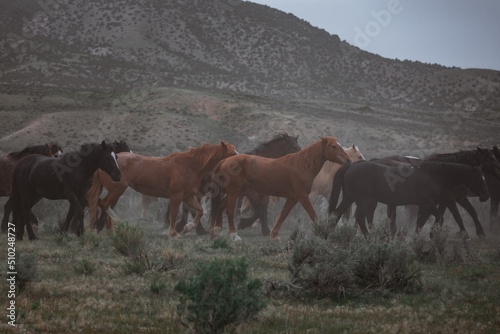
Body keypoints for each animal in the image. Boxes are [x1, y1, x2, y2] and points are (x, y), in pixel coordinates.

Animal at [88, 142, 238, 237]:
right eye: (232, 153)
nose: (240, 159)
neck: (189, 166)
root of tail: (101, 167)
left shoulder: (188, 196)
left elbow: (199, 211)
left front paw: (187, 228)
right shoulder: (176, 196)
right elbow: (174, 214)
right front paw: (174, 233)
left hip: (115, 192)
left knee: (105, 206)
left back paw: (109, 231)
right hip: (117, 190)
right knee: (104, 204)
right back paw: (116, 223)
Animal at [209, 137, 350, 241]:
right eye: (333, 146)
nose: (348, 160)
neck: (301, 166)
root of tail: (225, 161)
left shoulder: (293, 197)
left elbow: (283, 214)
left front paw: (274, 235)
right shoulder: (302, 196)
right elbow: (312, 214)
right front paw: (321, 233)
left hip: (236, 192)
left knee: (221, 206)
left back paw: (217, 230)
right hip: (235, 192)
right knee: (229, 211)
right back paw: (234, 236)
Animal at [328, 161, 488, 237]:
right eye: (479, 178)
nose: (486, 197)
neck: (434, 176)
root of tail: (350, 167)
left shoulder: (425, 205)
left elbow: (420, 222)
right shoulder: (428, 203)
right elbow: (439, 218)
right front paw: (432, 235)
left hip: (350, 198)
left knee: (338, 214)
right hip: (361, 200)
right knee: (359, 217)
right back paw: (368, 237)